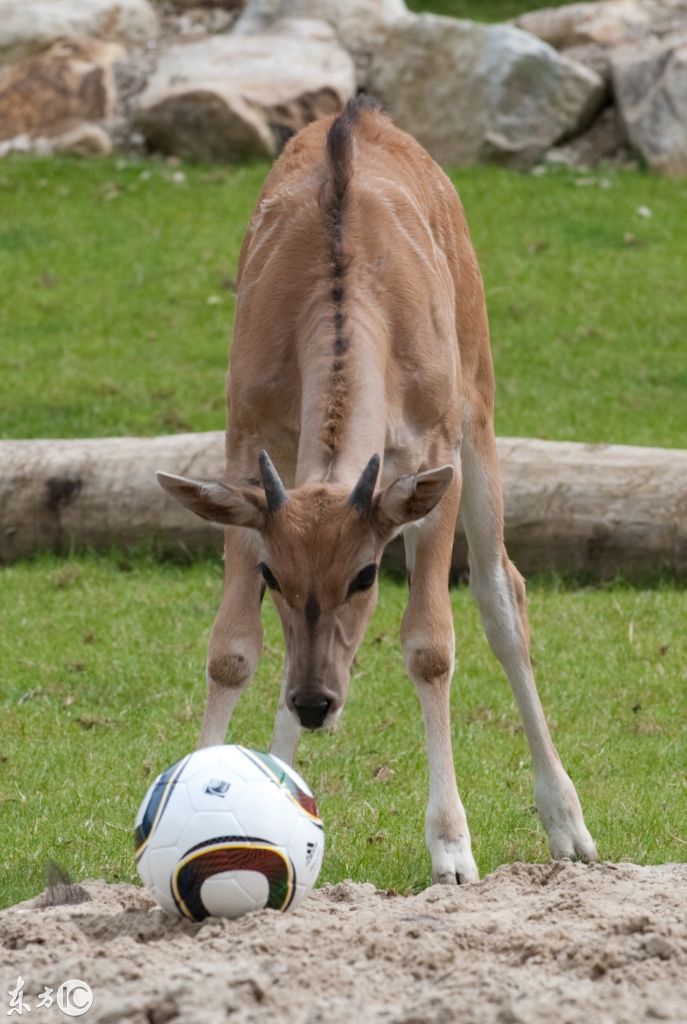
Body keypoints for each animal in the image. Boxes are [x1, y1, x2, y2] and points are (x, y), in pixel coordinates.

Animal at [157, 97, 597, 880]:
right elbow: (232, 648)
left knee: (502, 593)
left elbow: (430, 644)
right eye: (271, 575)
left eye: (366, 575)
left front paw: (451, 848)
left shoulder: (434, 453)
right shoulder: (246, 445)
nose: (315, 704)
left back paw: (568, 828)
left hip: (480, 410)